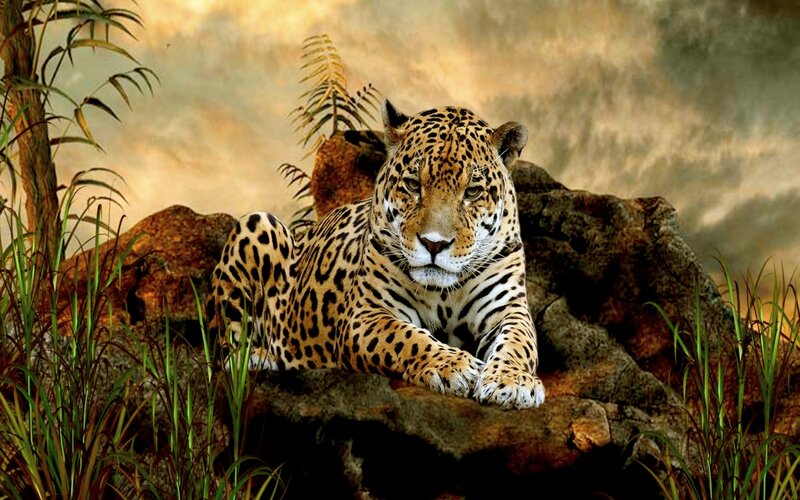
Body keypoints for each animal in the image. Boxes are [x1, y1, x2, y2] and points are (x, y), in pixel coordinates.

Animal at [205, 100, 545, 409]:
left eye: (472, 192)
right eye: (413, 185)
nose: (434, 244)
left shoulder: (508, 309)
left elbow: (519, 343)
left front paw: (512, 382)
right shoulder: (367, 314)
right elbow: (407, 338)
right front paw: (454, 366)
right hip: (257, 224)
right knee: (225, 349)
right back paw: (258, 357)